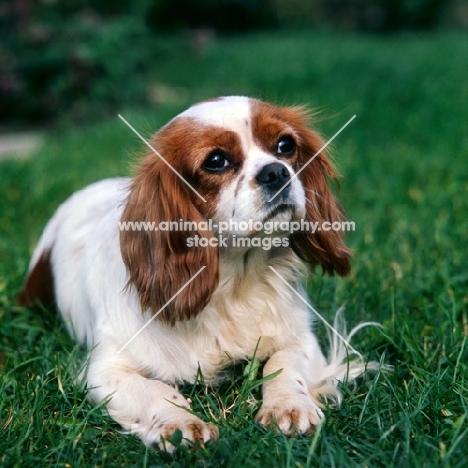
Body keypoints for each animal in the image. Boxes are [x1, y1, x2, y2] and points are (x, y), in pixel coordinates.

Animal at [19, 97, 372, 452]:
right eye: (216, 161)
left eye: (286, 145)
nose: (276, 171)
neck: (235, 284)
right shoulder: (104, 370)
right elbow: (154, 389)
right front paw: (178, 422)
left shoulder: (302, 338)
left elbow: (284, 363)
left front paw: (289, 404)